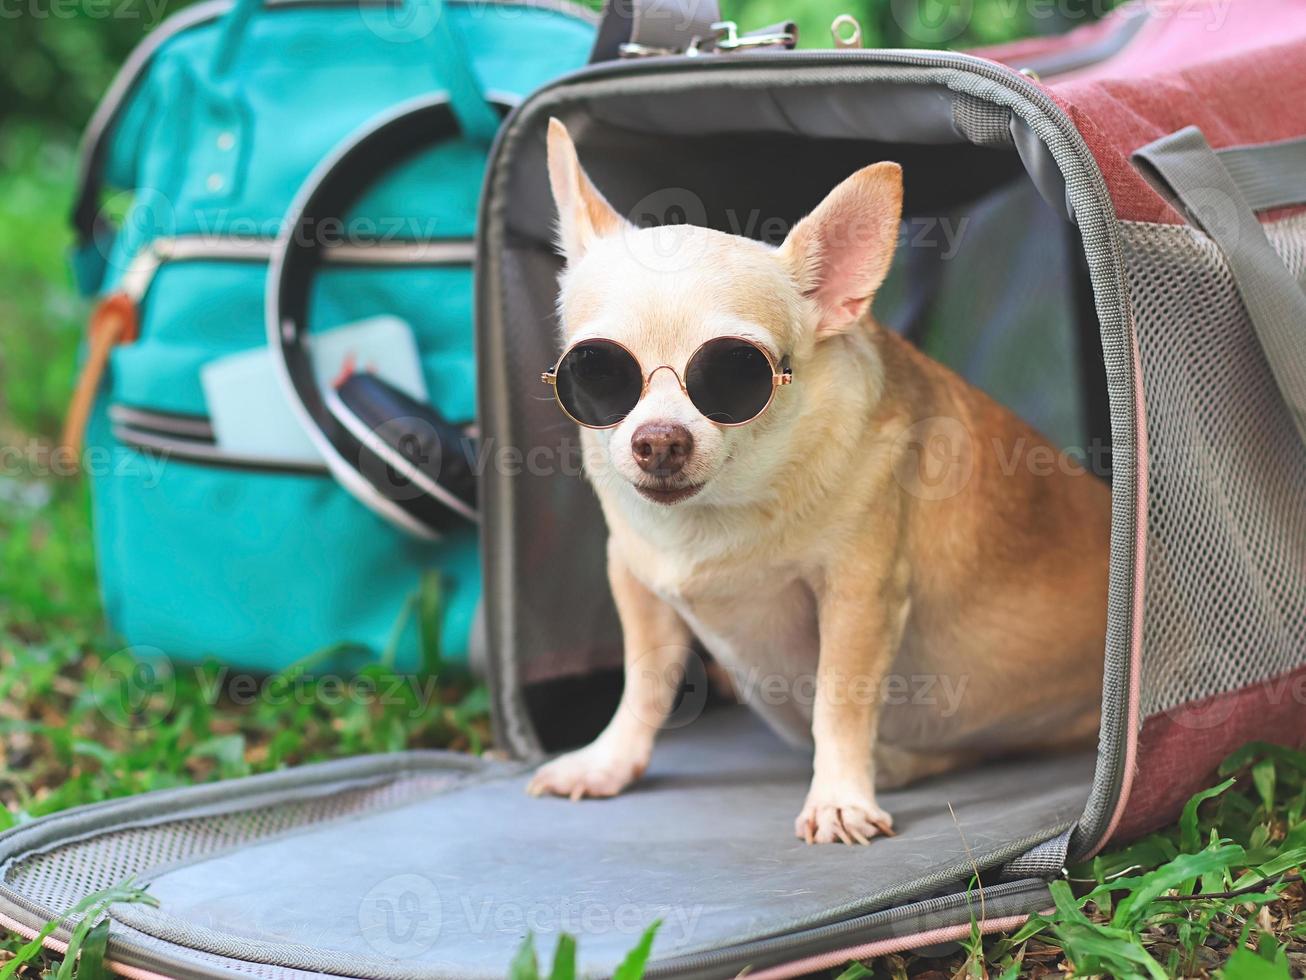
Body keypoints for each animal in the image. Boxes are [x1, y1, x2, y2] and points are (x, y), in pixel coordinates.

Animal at [525, 120, 1107, 846]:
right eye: (595, 371)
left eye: (735, 374)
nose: (658, 439)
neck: (720, 513)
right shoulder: (635, 578)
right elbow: (645, 679)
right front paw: (609, 761)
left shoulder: (858, 596)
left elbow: (840, 699)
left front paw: (837, 798)